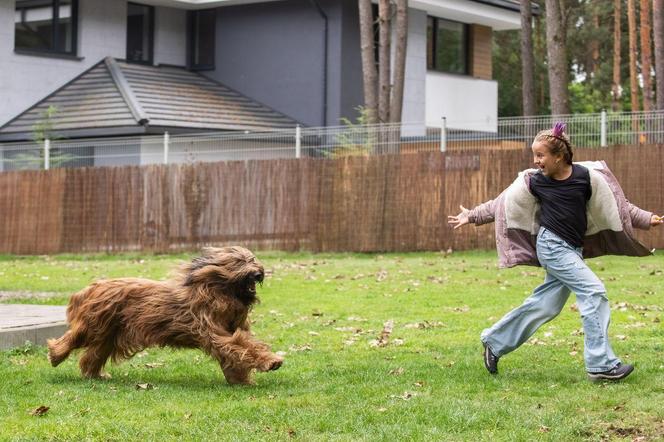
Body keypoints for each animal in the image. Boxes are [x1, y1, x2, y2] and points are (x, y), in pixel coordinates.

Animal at [45, 243, 284, 386]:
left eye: (253, 259)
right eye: (239, 262)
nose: (258, 274)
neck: (218, 292)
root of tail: (92, 287)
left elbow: (239, 350)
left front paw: (240, 380)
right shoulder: (214, 332)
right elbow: (243, 346)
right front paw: (271, 361)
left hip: (109, 334)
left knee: (92, 355)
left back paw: (94, 375)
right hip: (96, 325)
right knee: (74, 338)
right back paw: (55, 355)